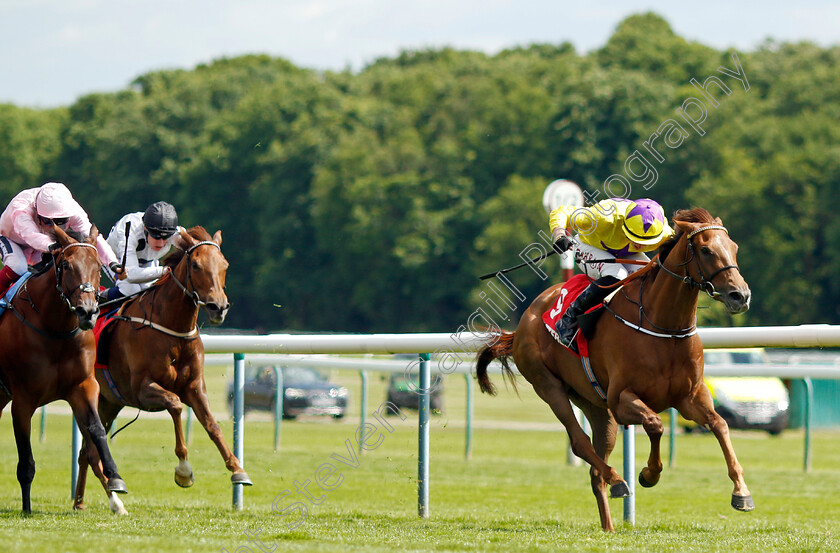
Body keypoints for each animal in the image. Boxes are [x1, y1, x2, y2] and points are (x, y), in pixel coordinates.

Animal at [0, 224, 128, 512]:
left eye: (97, 265)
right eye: (67, 265)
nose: (87, 312)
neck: (54, 329)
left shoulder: (83, 386)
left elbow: (96, 430)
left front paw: (115, 478)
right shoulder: (22, 399)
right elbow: (26, 461)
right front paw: (26, 509)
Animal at [74, 226, 249, 512]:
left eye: (225, 264)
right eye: (196, 265)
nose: (219, 307)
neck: (171, 327)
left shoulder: (195, 387)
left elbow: (212, 424)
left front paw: (238, 470)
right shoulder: (142, 390)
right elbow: (175, 404)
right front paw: (184, 471)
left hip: (108, 402)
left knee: (86, 452)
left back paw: (80, 502)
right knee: (90, 450)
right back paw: (112, 498)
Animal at [480, 207, 756, 532]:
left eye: (734, 247)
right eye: (705, 250)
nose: (740, 295)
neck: (663, 325)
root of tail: (525, 319)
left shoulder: (689, 397)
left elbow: (719, 424)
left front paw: (741, 492)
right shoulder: (622, 399)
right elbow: (655, 424)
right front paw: (648, 474)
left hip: (595, 406)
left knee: (595, 468)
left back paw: (609, 524)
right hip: (550, 386)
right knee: (580, 442)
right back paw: (618, 481)